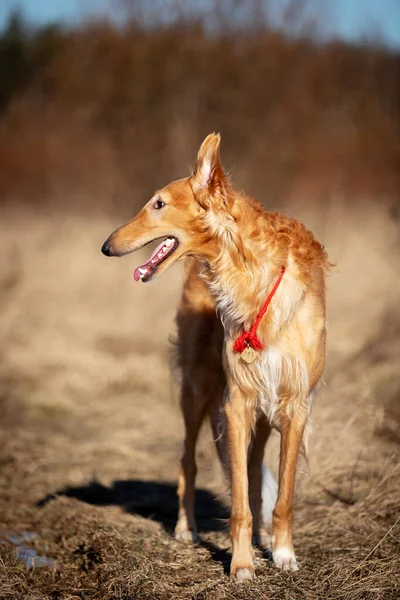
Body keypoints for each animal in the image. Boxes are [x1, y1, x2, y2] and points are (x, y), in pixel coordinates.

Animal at [102, 132, 328, 580]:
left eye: (158, 203)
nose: (106, 246)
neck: (249, 278)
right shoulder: (236, 402)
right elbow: (239, 501)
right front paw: (241, 564)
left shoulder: (295, 405)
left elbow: (282, 495)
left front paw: (283, 553)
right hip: (198, 389)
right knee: (187, 462)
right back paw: (185, 528)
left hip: (260, 413)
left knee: (255, 473)